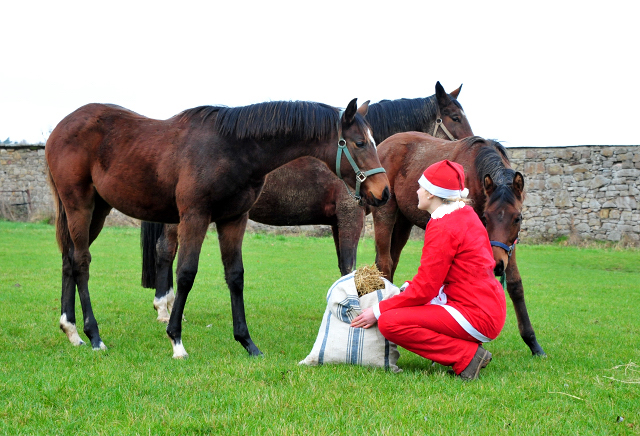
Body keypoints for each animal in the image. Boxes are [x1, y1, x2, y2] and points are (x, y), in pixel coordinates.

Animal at [46, 98, 390, 358]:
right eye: (359, 143)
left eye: (374, 142)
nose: (383, 192)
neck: (231, 149)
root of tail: (60, 128)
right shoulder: (195, 217)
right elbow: (186, 274)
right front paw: (176, 340)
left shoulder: (233, 219)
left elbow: (235, 276)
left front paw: (248, 343)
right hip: (80, 205)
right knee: (81, 262)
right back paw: (94, 335)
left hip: (98, 209)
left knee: (68, 260)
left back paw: (71, 330)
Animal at [139, 81, 470, 320]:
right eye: (455, 118)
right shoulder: (350, 217)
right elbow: (348, 266)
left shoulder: (338, 222)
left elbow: (344, 267)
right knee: (165, 250)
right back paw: (164, 308)